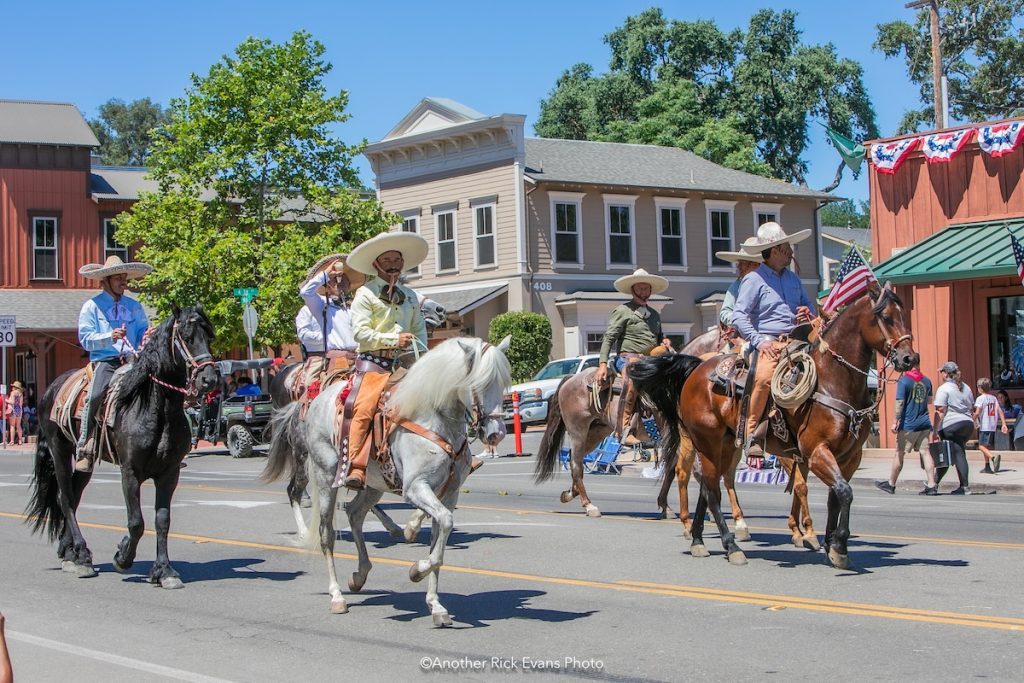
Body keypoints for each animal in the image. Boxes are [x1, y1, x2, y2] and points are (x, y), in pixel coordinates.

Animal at [25, 305, 218, 589]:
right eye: (186, 336)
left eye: (209, 336)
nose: (209, 378)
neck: (155, 408)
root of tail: (51, 388)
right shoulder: (130, 471)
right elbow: (136, 521)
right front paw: (123, 557)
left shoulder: (170, 472)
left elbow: (162, 519)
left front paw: (164, 571)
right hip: (59, 450)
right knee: (66, 498)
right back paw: (82, 556)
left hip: (85, 461)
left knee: (74, 494)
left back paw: (70, 554)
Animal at [260, 335, 507, 626]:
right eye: (478, 382)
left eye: (503, 382)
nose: (496, 434)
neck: (433, 418)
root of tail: (314, 400)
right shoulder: (416, 488)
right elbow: (444, 525)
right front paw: (416, 570)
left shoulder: (448, 494)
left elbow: (440, 539)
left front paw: (436, 605)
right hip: (323, 476)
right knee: (324, 532)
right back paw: (336, 596)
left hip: (372, 485)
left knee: (354, 513)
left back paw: (360, 574)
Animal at [634, 284, 917, 573]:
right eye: (886, 318)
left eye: (904, 314)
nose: (909, 358)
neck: (831, 381)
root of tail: (696, 369)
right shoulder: (816, 452)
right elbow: (841, 492)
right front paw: (834, 545)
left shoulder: (850, 456)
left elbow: (835, 497)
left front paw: (830, 545)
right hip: (706, 441)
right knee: (708, 487)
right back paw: (730, 545)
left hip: (725, 443)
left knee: (708, 484)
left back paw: (699, 540)